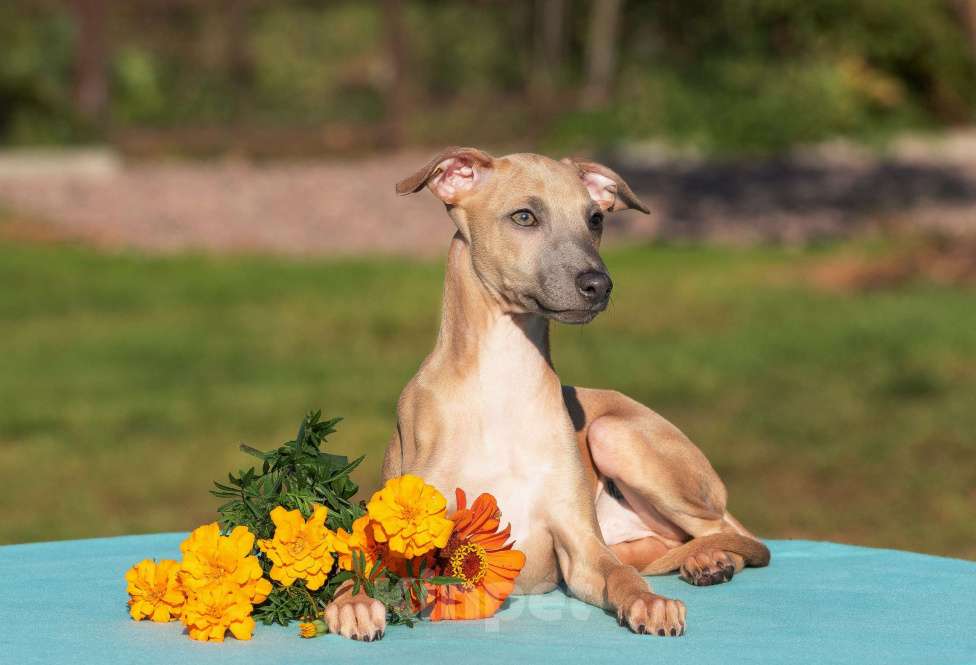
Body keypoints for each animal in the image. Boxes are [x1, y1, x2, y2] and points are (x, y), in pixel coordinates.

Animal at [326, 147, 772, 640]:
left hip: (615, 435)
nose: (598, 285)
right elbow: (371, 566)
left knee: (726, 531)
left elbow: (620, 576)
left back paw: (711, 559)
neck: (502, 381)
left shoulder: (580, 547)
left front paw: (650, 603)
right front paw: (354, 601)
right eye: (524, 216)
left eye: (595, 219)